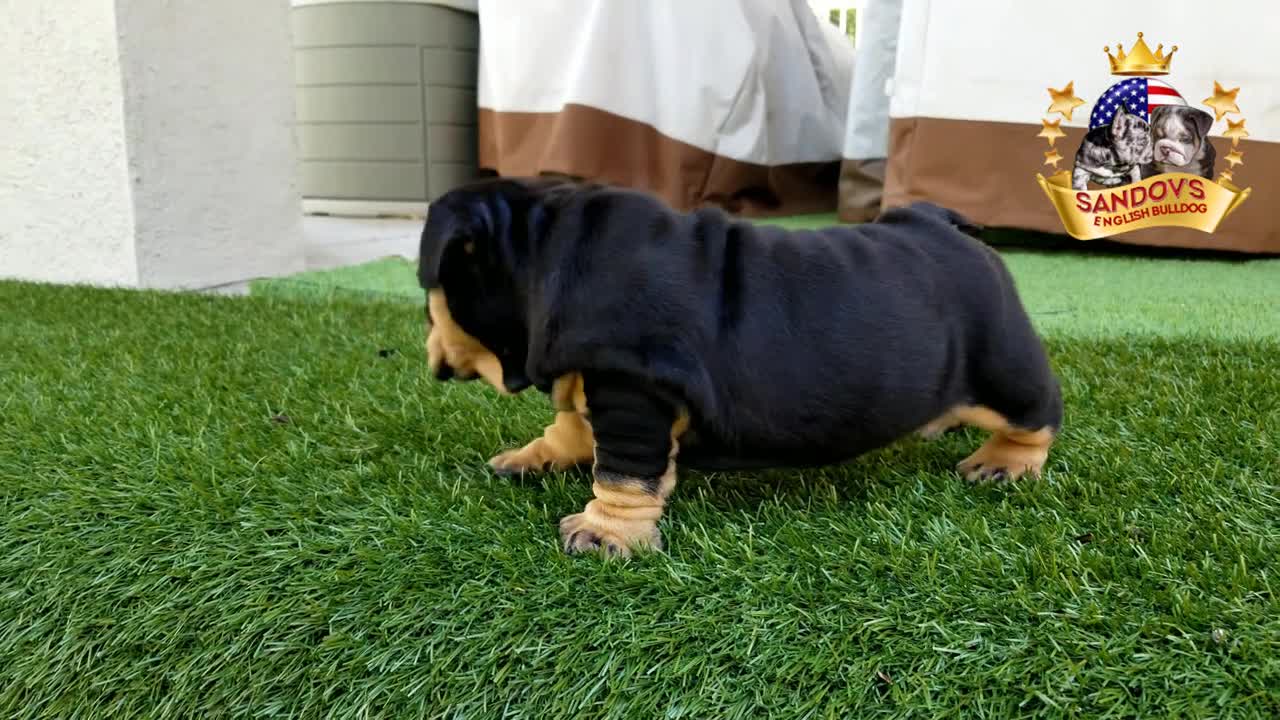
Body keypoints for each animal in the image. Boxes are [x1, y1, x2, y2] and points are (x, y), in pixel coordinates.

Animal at [417, 178, 1059, 556]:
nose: (428, 344)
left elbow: (622, 471)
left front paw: (604, 532)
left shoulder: (631, 389)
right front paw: (536, 457)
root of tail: (938, 223)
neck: (543, 245)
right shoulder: (589, 376)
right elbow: (574, 426)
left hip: (1002, 363)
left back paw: (1004, 464)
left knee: (1037, 416)